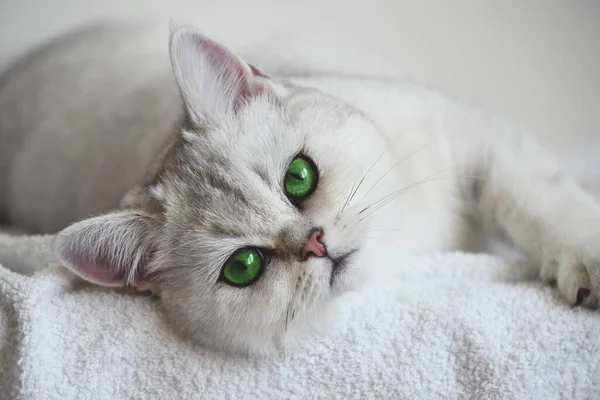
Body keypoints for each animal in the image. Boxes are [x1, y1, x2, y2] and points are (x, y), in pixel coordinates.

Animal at [1, 22, 600, 354]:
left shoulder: (476, 137)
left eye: (299, 177)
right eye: (243, 266)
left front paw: (584, 256)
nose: (314, 243)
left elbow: (538, 199)